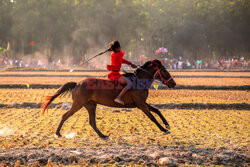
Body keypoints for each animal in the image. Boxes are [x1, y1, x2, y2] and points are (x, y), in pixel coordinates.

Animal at [41, 59, 176, 139]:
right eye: (164, 70)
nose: (173, 84)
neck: (140, 81)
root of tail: (77, 83)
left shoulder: (142, 103)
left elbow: (157, 110)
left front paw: (167, 125)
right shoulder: (140, 104)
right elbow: (152, 117)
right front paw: (164, 129)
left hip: (91, 105)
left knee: (92, 122)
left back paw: (103, 135)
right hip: (78, 104)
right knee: (65, 116)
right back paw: (58, 133)